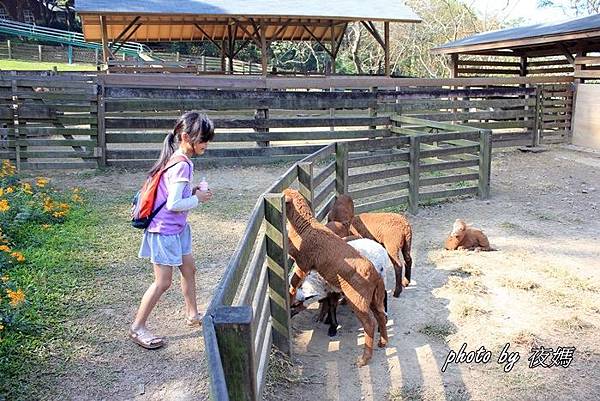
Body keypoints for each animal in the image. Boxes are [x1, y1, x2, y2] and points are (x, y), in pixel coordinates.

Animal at [286, 188, 390, 366]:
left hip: (357, 300)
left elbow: (295, 282)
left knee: (369, 324)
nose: (291, 314)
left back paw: (364, 359)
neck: (306, 227)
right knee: (381, 316)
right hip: (374, 297)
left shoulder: (303, 263)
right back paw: (383, 342)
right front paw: (323, 318)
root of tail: (376, 275)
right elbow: (326, 303)